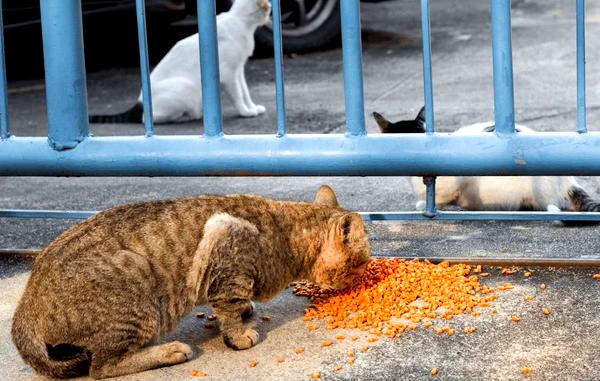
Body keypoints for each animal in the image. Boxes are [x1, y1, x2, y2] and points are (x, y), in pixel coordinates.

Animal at [11, 185, 370, 378]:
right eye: (363, 263)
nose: (364, 279)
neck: (286, 232)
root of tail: (26, 307)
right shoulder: (226, 250)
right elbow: (230, 310)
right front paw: (239, 334)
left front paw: (244, 311)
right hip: (137, 284)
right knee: (101, 367)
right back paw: (169, 351)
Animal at [90, 0, 270, 124]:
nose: (271, 9)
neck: (241, 21)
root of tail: (139, 102)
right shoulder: (229, 75)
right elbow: (238, 95)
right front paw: (245, 112)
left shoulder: (239, 71)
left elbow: (245, 92)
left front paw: (252, 107)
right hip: (186, 88)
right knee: (147, 119)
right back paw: (188, 116)